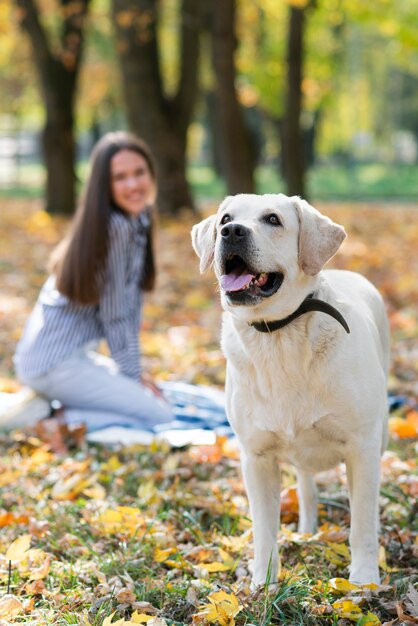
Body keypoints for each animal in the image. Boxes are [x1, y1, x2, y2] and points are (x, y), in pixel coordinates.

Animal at [192, 191, 388, 584]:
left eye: (273, 219)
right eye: (225, 220)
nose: (232, 232)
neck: (278, 334)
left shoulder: (362, 446)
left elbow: (362, 523)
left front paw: (363, 580)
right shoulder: (256, 456)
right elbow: (264, 528)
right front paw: (263, 583)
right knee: (306, 484)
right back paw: (307, 529)